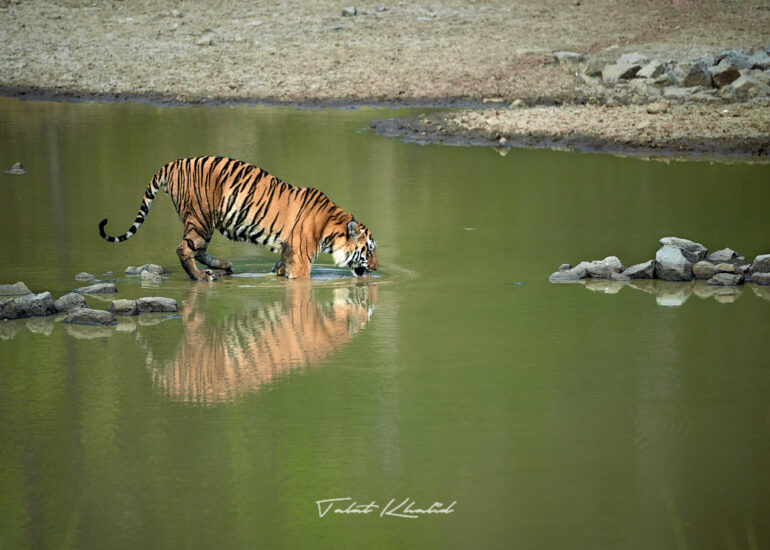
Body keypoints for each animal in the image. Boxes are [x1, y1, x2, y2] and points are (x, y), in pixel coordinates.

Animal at [98, 156, 378, 280]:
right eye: (370, 250)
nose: (375, 269)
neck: (331, 228)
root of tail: (172, 164)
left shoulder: (288, 251)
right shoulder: (300, 258)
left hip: (204, 223)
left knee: (199, 249)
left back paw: (223, 266)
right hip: (200, 217)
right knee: (184, 249)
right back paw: (200, 276)